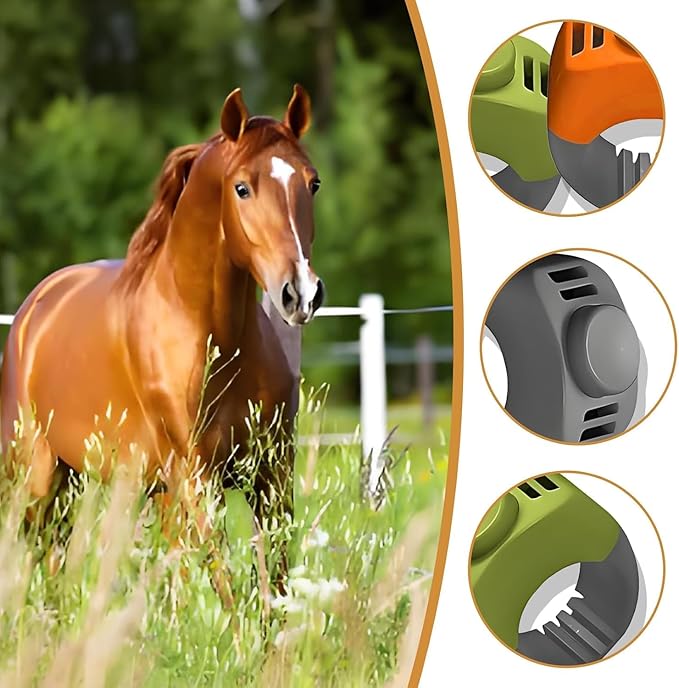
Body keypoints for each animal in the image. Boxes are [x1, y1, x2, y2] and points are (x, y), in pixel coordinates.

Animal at [0, 85, 324, 565]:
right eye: (242, 188)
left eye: (313, 182)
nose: (300, 292)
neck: (216, 340)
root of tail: (34, 308)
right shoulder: (197, 479)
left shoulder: (271, 477)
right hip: (36, 481)